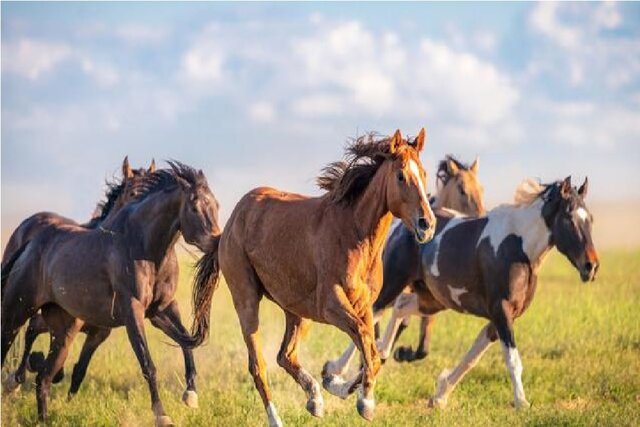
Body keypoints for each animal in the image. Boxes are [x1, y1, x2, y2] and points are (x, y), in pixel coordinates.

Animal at [1, 162, 220, 426]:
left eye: (216, 205)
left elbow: (186, 341)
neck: (142, 245)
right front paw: (162, 414)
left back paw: (43, 417)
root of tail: (31, 243)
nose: (217, 241)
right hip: (16, 312)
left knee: (43, 378)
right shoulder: (132, 311)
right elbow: (147, 362)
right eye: (195, 207)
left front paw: (190, 395)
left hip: (63, 331)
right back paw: (15, 384)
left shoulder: (160, 310)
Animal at [192, 130, 438, 427]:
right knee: (258, 366)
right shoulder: (330, 305)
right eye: (401, 176)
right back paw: (277, 419)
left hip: (297, 311)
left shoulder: (364, 306)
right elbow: (366, 342)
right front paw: (364, 402)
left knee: (285, 355)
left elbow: (372, 350)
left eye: (423, 173)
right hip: (247, 301)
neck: (354, 235)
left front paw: (337, 383)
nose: (427, 224)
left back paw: (315, 399)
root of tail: (229, 225)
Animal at [324, 156, 484, 378]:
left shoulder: (426, 299)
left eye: (481, 188)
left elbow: (422, 345)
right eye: (462, 189)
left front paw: (402, 353)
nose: (482, 215)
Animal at [348, 176, 596, 408]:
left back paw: (380, 355)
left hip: (432, 299)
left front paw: (440, 395)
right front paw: (521, 402)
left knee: (398, 309)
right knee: (369, 316)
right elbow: (512, 360)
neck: (519, 248)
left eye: (590, 219)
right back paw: (341, 377)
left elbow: (472, 358)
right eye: (570, 219)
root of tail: (401, 226)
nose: (591, 266)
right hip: (394, 284)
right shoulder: (501, 311)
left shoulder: (501, 317)